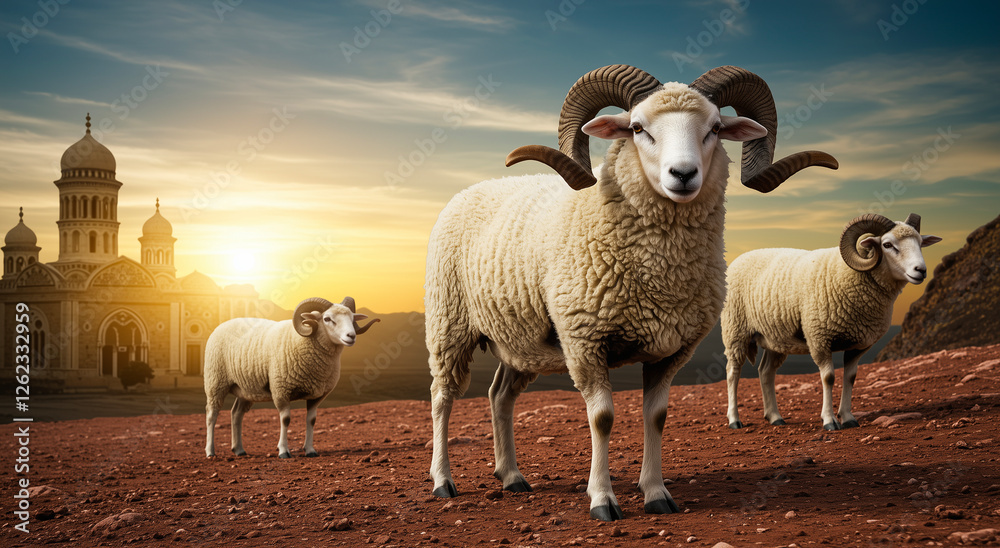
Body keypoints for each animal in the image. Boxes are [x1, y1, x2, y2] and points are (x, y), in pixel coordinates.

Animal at [203, 297, 379, 458]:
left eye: (352, 318)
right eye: (327, 319)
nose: (351, 336)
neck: (302, 340)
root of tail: (222, 324)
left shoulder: (318, 395)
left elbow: (311, 420)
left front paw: (310, 450)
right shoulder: (281, 390)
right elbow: (285, 420)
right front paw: (283, 451)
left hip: (246, 389)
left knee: (236, 414)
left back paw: (239, 449)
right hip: (215, 382)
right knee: (212, 415)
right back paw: (210, 451)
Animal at [424, 64, 838, 521]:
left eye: (714, 128)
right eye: (638, 128)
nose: (683, 174)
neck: (661, 276)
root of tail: (472, 189)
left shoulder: (672, 350)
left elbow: (656, 417)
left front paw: (656, 493)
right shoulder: (585, 342)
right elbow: (603, 419)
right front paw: (602, 499)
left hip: (520, 341)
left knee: (500, 397)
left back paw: (511, 476)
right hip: (449, 325)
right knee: (442, 397)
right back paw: (443, 481)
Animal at [722, 213, 942, 431]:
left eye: (920, 243)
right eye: (887, 244)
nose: (921, 270)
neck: (848, 273)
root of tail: (739, 258)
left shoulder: (858, 345)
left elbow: (850, 378)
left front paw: (848, 417)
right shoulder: (820, 338)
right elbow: (829, 378)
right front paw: (829, 420)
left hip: (775, 338)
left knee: (766, 372)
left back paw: (775, 417)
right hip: (735, 331)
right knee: (733, 372)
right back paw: (734, 419)